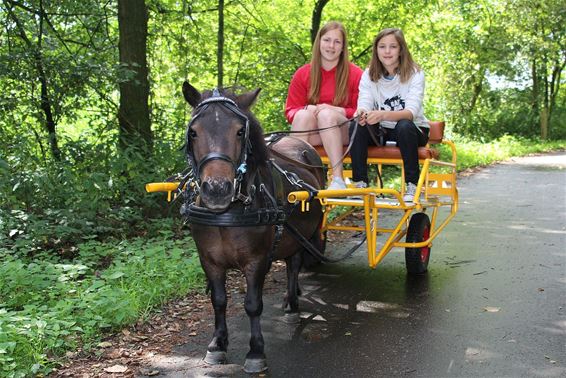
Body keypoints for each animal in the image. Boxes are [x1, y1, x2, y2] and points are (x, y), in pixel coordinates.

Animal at [180, 81, 326, 374]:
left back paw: (293, 306)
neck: (228, 214)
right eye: (193, 132)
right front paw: (217, 345)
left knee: (294, 266)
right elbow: (219, 300)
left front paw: (256, 351)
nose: (217, 189)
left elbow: (253, 304)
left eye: (240, 131)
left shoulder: (256, 260)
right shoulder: (209, 260)